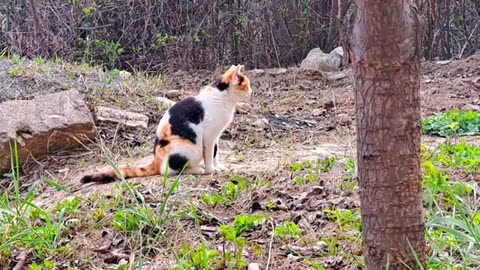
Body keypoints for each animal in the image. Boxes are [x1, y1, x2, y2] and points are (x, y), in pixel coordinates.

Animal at [79, 64, 251, 185]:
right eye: (246, 85)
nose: (251, 91)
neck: (224, 99)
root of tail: (155, 161)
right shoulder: (209, 136)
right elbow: (209, 155)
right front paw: (211, 170)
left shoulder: (217, 135)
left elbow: (216, 153)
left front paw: (218, 167)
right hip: (191, 148)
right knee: (171, 171)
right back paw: (199, 169)